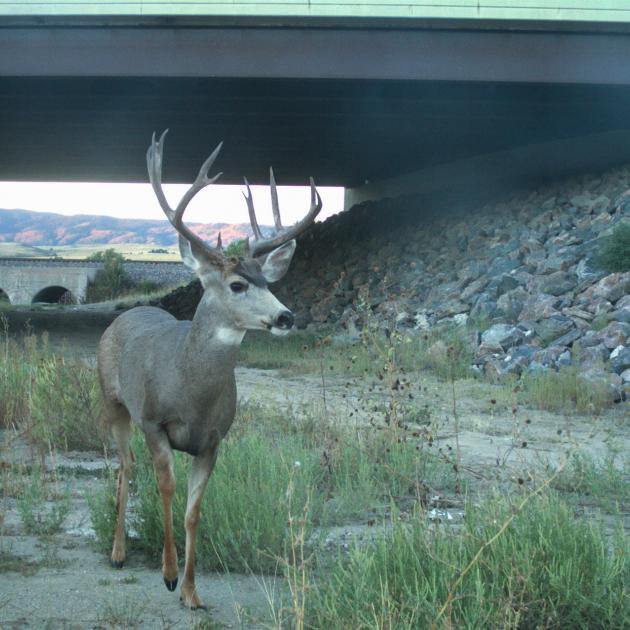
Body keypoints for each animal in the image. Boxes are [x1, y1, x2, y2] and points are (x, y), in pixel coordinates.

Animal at [100, 131, 324, 608]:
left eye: (268, 281)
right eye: (237, 284)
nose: (286, 316)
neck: (193, 393)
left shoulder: (214, 439)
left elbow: (194, 511)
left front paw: (191, 592)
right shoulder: (155, 422)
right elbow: (166, 491)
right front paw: (168, 575)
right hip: (111, 400)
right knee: (125, 464)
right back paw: (118, 553)